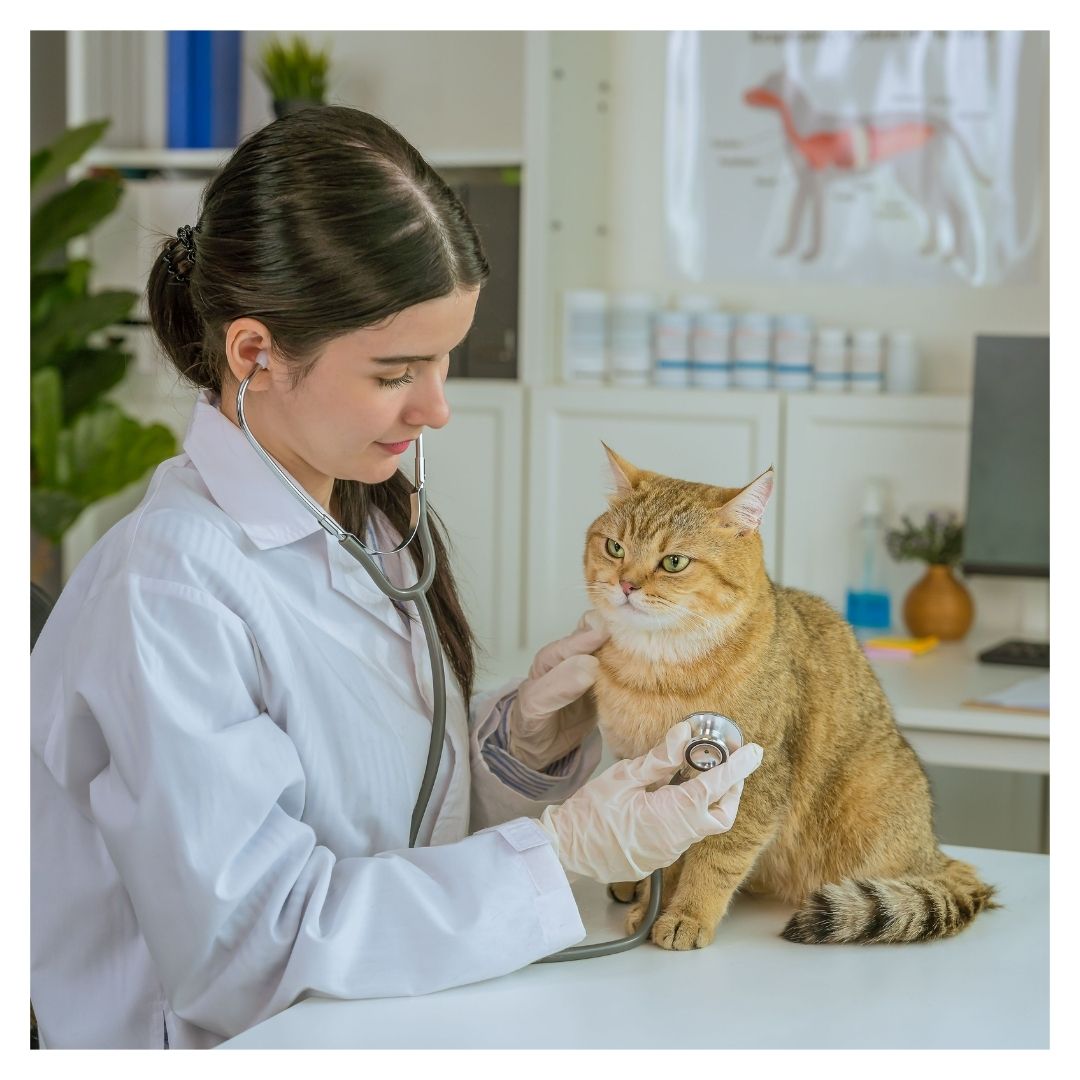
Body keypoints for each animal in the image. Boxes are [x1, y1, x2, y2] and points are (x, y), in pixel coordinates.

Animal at [583, 442, 993, 950]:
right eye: (614, 547)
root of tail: (933, 852)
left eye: (674, 562)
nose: (625, 584)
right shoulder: (649, 778)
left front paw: (687, 914)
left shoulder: (755, 783)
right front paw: (651, 902)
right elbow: (667, 852)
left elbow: (715, 858)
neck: (655, 670)